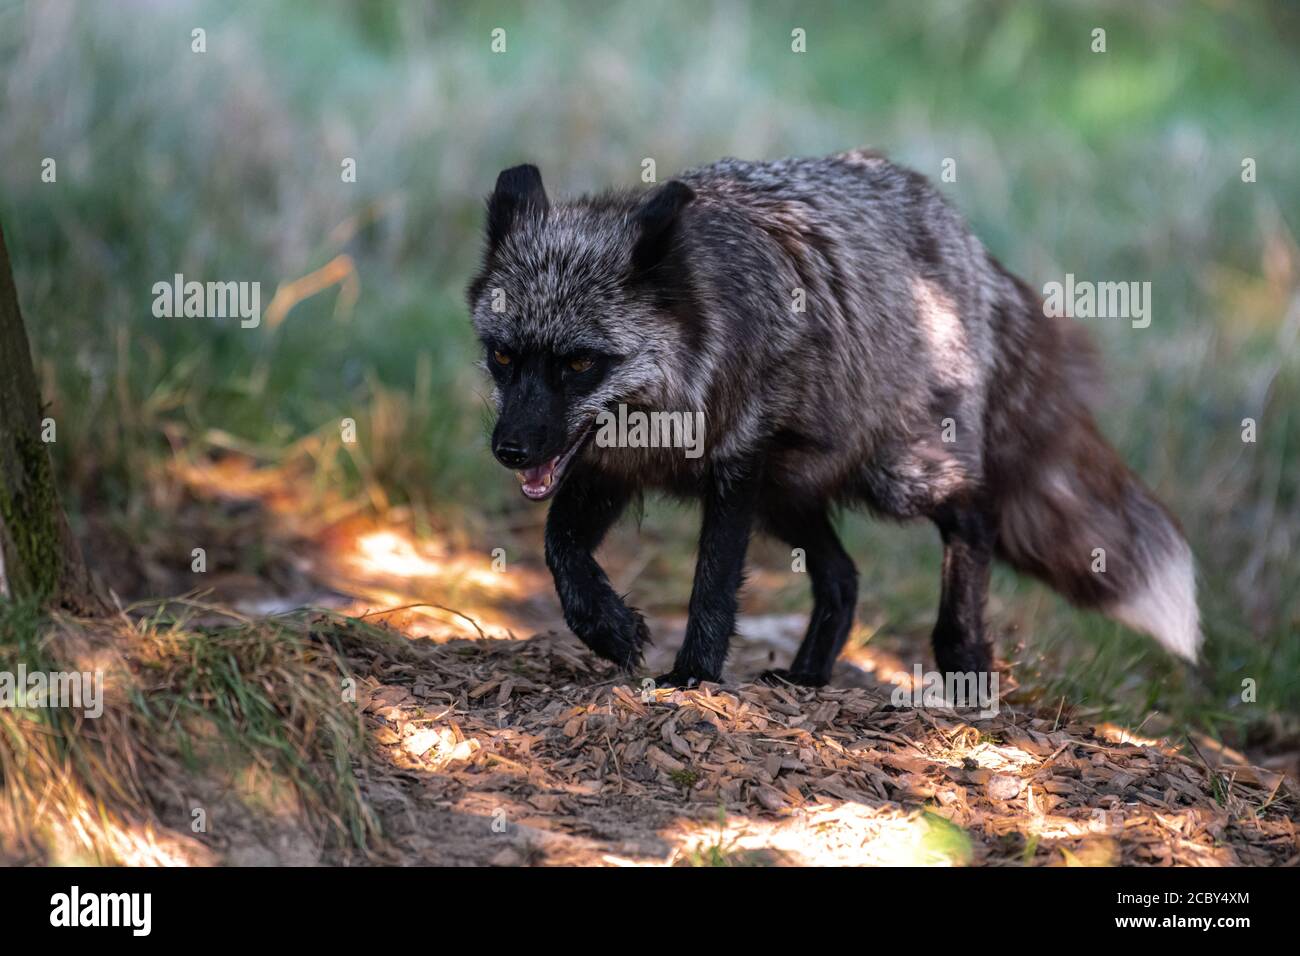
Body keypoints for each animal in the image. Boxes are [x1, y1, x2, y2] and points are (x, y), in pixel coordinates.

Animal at [465, 149, 1196, 686]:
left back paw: (961, 651)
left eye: (579, 363)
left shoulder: (735, 466)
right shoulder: (612, 467)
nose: (508, 449)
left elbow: (713, 588)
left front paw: (693, 677)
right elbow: (560, 551)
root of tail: (965, 237)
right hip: (787, 495)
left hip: (895, 476)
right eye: (502, 355)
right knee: (844, 577)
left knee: (975, 513)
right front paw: (609, 630)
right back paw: (807, 677)